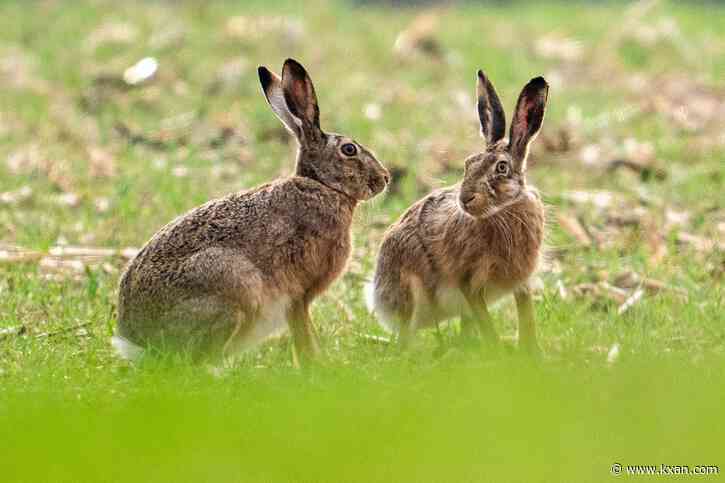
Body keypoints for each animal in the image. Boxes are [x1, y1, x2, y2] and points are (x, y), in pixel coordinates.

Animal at [113, 58, 390, 364]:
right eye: (349, 150)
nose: (385, 178)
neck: (322, 185)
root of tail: (137, 341)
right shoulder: (299, 294)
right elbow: (303, 332)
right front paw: (315, 363)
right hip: (231, 290)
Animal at [367, 70, 548, 355]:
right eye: (467, 164)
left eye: (502, 168)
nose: (465, 198)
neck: (502, 210)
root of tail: (377, 298)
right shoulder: (469, 280)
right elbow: (485, 320)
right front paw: (500, 352)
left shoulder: (522, 281)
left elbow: (526, 316)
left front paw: (531, 354)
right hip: (408, 289)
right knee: (406, 332)